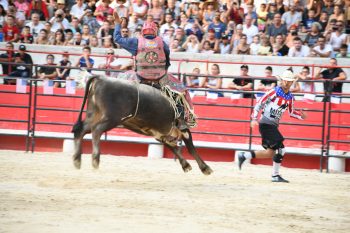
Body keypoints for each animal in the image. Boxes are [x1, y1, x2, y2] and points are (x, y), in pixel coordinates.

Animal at [72, 76, 213, 175]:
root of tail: (100, 78)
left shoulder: (159, 133)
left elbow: (173, 147)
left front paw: (185, 165)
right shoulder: (182, 131)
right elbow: (190, 147)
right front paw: (205, 168)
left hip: (93, 114)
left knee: (81, 130)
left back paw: (77, 160)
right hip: (111, 118)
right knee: (96, 130)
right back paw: (95, 159)